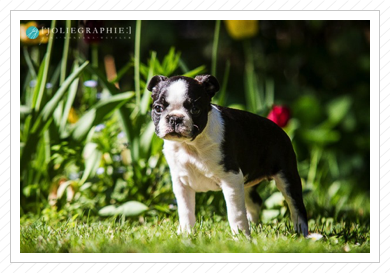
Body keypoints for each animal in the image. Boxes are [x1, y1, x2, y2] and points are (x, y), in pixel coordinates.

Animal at [146, 74, 308, 236]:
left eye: (195, 109)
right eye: (158, 108)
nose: (175, 118)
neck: (190, 145)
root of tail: (281, 130)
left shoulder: (231, 178)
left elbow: (235, 214)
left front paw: (241, 236)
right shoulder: (181, 183)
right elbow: (185, 210)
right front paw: (186, 233)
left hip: (286, 176)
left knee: (296, 206)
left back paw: (302, 233)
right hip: (247, 183)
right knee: (255, 201)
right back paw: (254, 226)